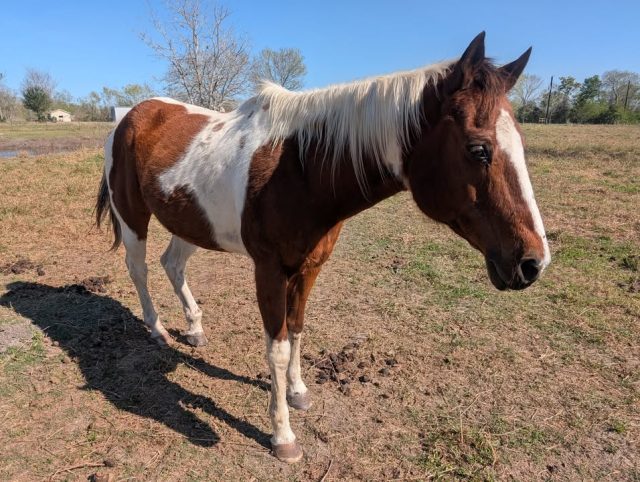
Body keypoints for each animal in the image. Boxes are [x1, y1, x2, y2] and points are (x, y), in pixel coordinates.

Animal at [95, 32, 550, 463]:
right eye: (479, 149)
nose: (533, 263)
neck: (300, 168)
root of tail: (132, 115)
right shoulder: (269, 270)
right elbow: (277, 348)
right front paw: (283, 436)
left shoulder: (310, 266)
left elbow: (297, 328)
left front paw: (297, 391)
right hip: (133, 216)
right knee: (140, 269)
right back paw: (157, 330)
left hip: (190, 223)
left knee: (172, 264)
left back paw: (194, 328)